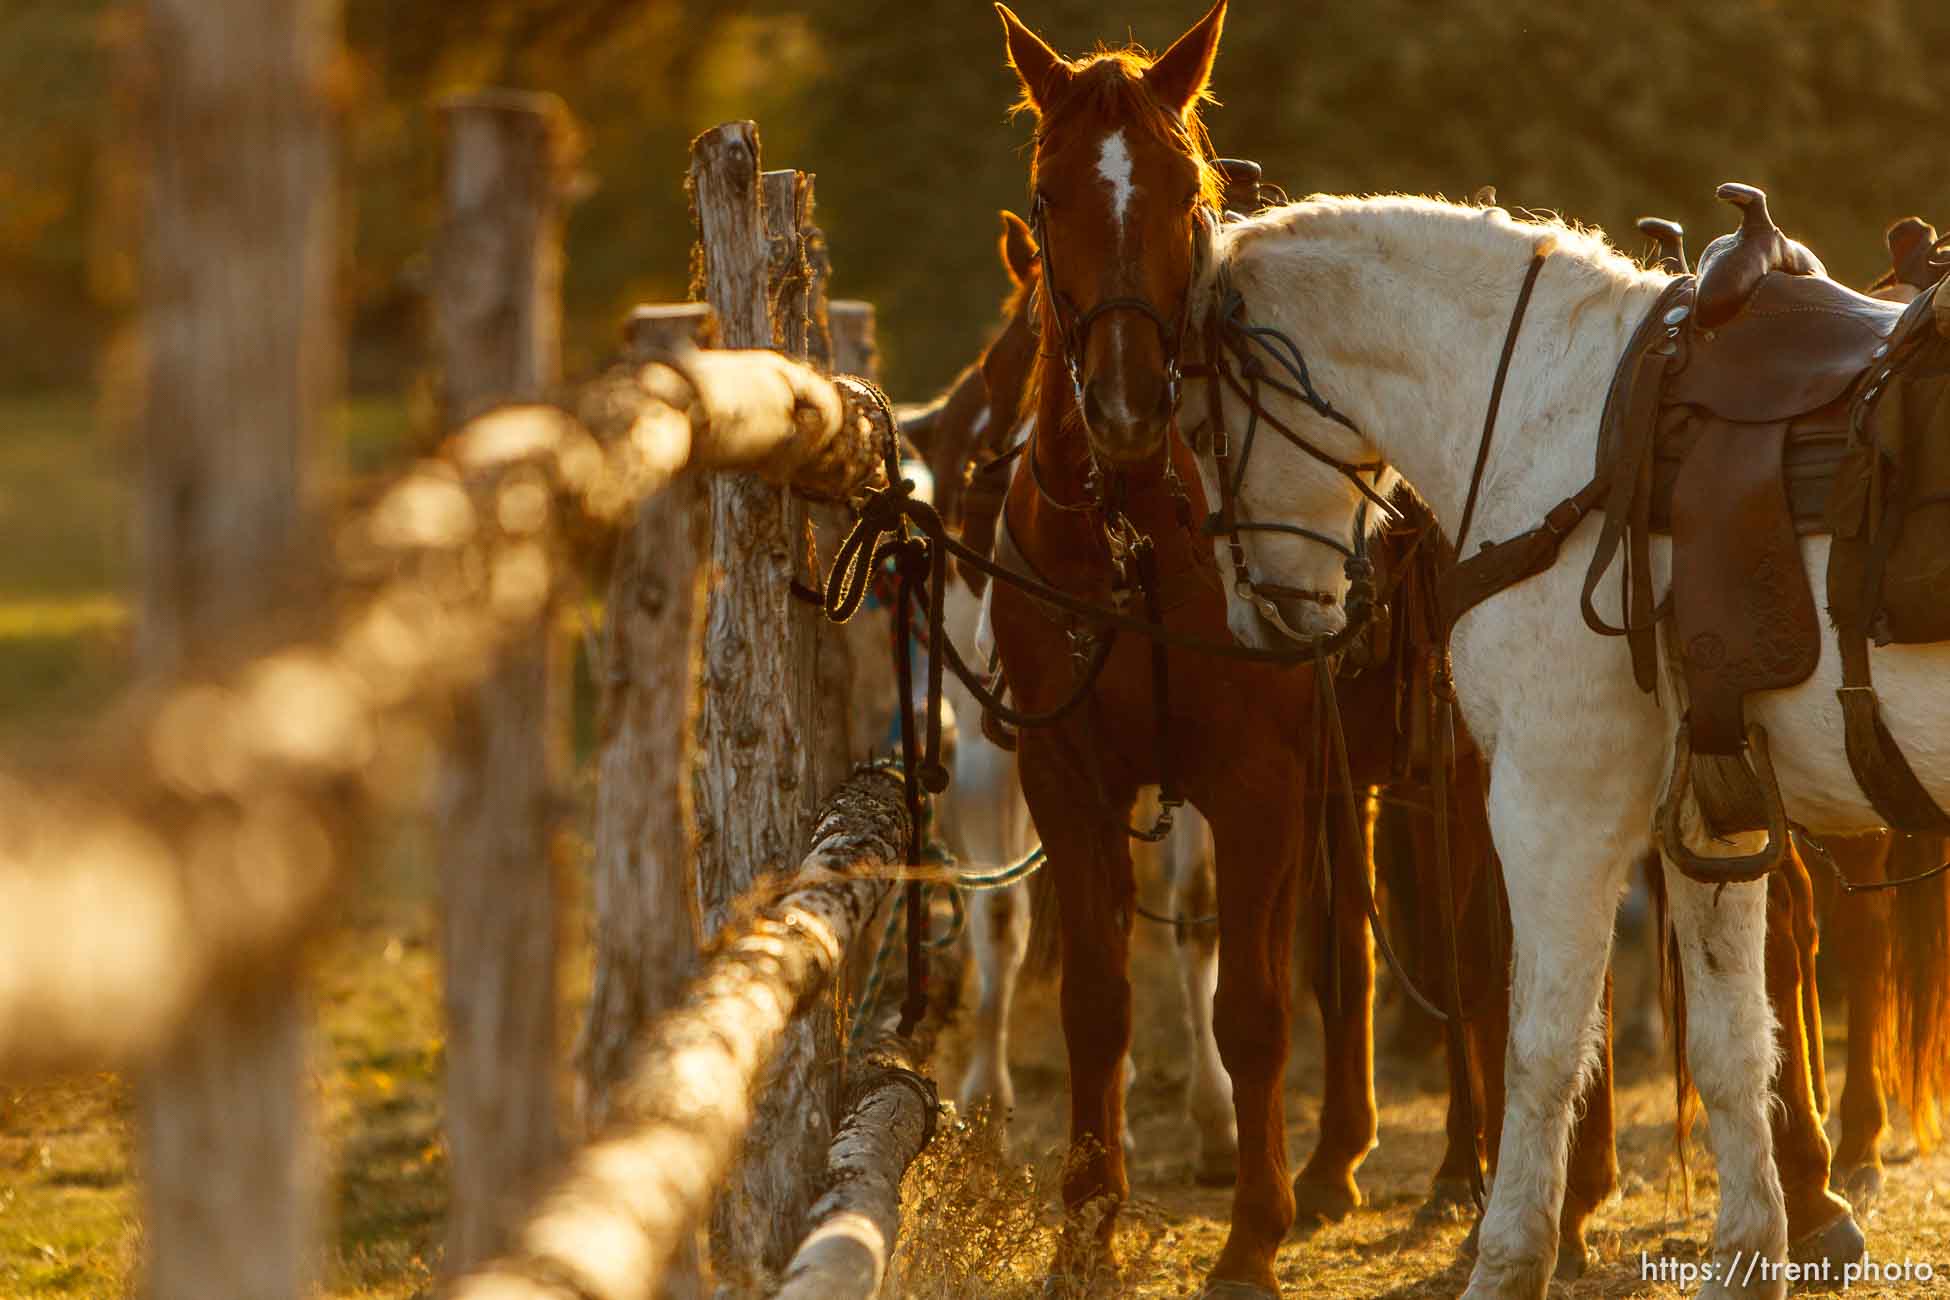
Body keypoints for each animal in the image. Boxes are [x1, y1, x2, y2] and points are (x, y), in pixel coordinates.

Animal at [1185, 195, 1950, 1300]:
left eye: (1198, 427)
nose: (1263, 617)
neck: (1558, 425)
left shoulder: (1554, 808)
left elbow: (1539, 1047)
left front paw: (1508, 1256)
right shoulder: (1713, 816)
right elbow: (1732, 1044)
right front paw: (1750, 1251)